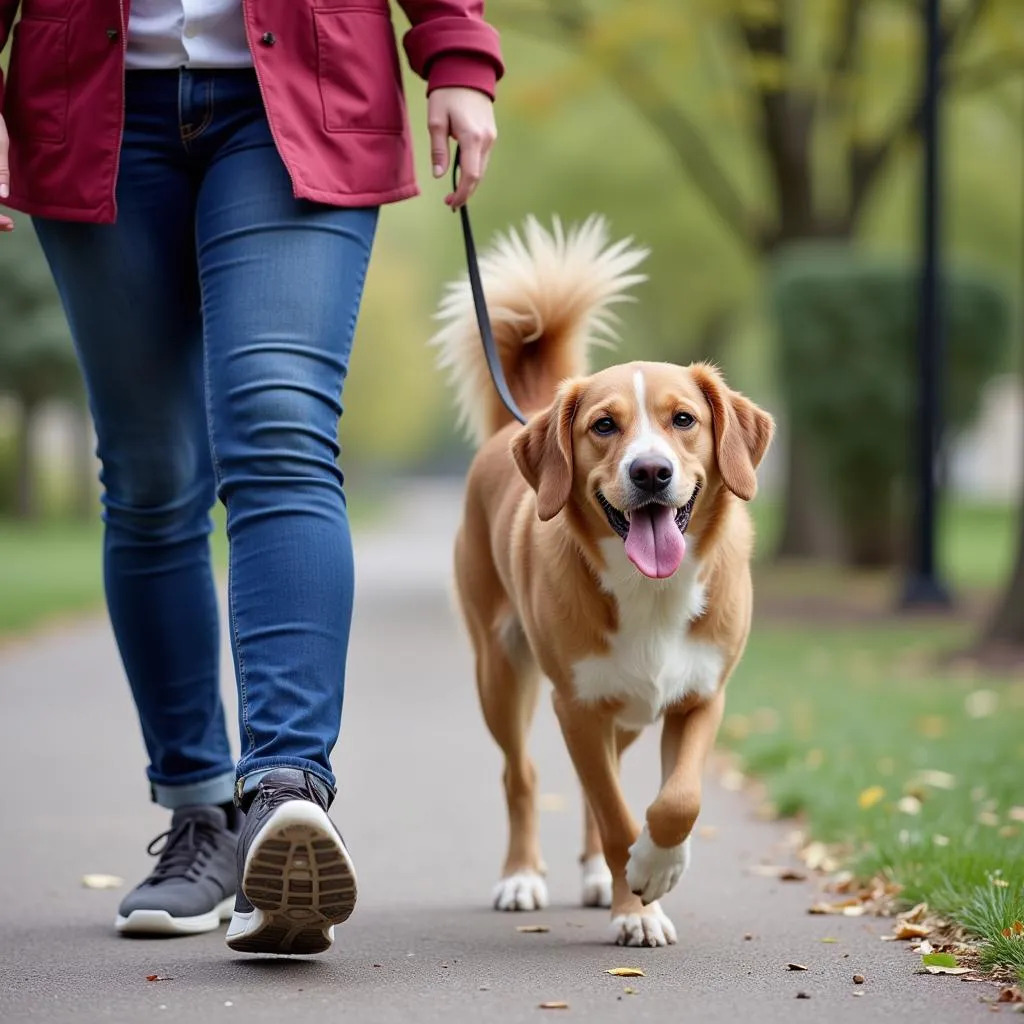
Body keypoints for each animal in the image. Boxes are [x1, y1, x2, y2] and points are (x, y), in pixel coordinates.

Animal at [428, 218, 770, 950]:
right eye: (604, 425)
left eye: (683, 420)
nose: (650, 473)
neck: (651, 592)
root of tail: (519, 418)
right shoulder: (576, 706)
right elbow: (616, 814)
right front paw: (635, 902)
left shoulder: (702, 696)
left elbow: (677, 799)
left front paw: (656, 867)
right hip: (501, 672)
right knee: (523, 775)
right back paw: (523, 877)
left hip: (628, 713)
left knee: (596, 785)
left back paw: (596, 876)